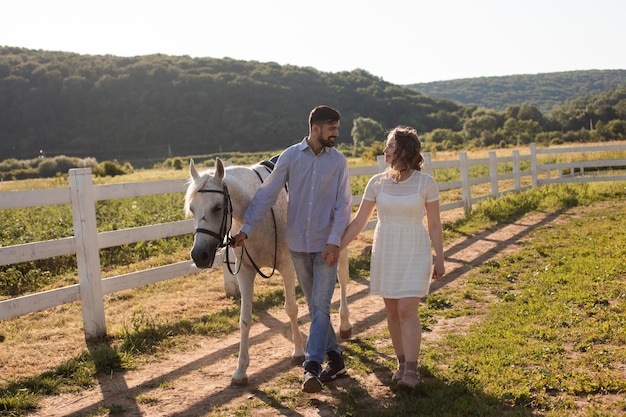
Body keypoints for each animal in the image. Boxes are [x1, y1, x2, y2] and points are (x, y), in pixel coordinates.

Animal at [184, 158, 352, 386]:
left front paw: (298, 351)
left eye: (218, 207)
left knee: (342, 279)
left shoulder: (287, 265)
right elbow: (245, 320)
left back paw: (344, 324)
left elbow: (291, 308)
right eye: (192, 209)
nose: (199, 255)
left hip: (338, 249)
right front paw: (240, 371)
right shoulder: (245, 272)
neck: (255, 216)